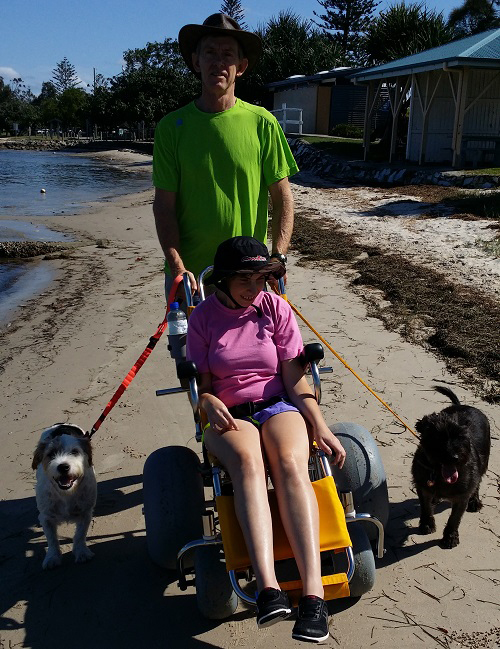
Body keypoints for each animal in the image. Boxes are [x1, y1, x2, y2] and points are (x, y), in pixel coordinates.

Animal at [32, 420, 97, 568]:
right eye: (51, 454)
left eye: (75, 452)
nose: (63, 467)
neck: (66, 493)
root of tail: (61, 424)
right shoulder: (47, 517)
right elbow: (51, 539)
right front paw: (52, 557)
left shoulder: (85, 513)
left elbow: (80, 535)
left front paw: (81, 552)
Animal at [412, 384, 490, 548]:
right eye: (438, 437)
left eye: (462, 437)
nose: (454, 458)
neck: (438, 474)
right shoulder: (423, 487)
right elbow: (426, 507)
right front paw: (427, 524)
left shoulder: (461, 498)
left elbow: (454, 519)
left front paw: (450, 537)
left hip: (483, 462)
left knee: (478, 483)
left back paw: (475, 501)